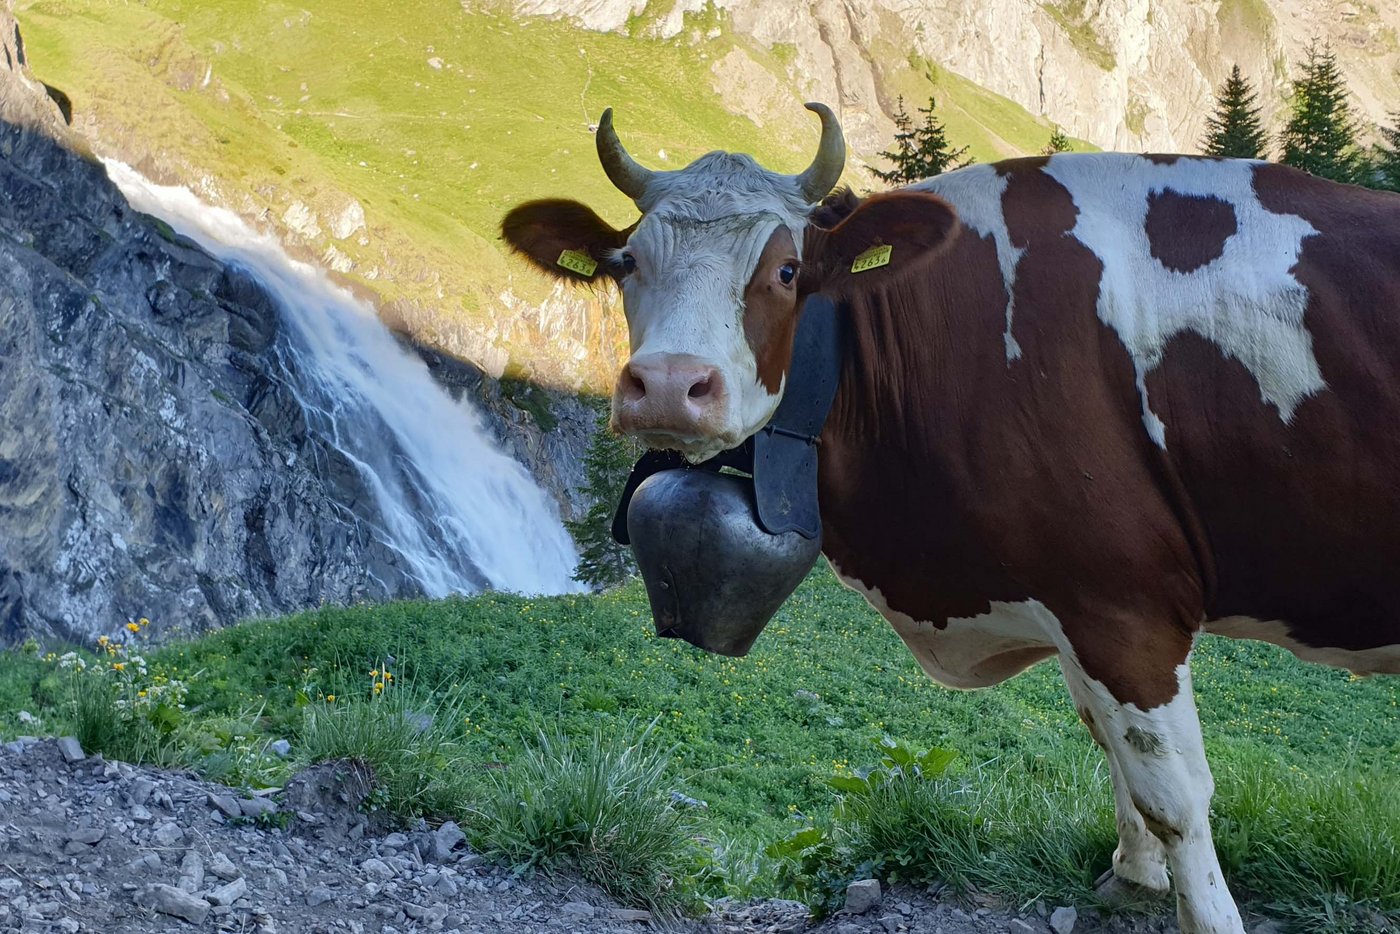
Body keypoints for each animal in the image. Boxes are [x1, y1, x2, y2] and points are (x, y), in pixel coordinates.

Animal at [501, 103, 1400, 934]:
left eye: (787, 270)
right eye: (626, 263)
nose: (665, 386)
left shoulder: (1122, 597)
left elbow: (1171, 788)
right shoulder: (1073, 594)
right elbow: (1106, 738)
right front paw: (1132, 876)